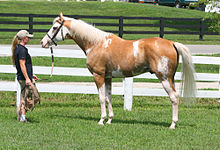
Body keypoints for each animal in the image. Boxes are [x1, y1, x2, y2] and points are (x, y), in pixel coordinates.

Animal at [41, 12, 196, 129]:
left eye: (54, 27)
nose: (43, 43)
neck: (96, 44)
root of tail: (172, 43)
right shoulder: (108, 77)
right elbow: (109, 97)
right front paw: (109, 119)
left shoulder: (98, 76)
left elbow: (101, 98)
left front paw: (101, 120)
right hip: (171, 79)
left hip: (164, 78)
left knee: (174, 97)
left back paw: (172, 124)